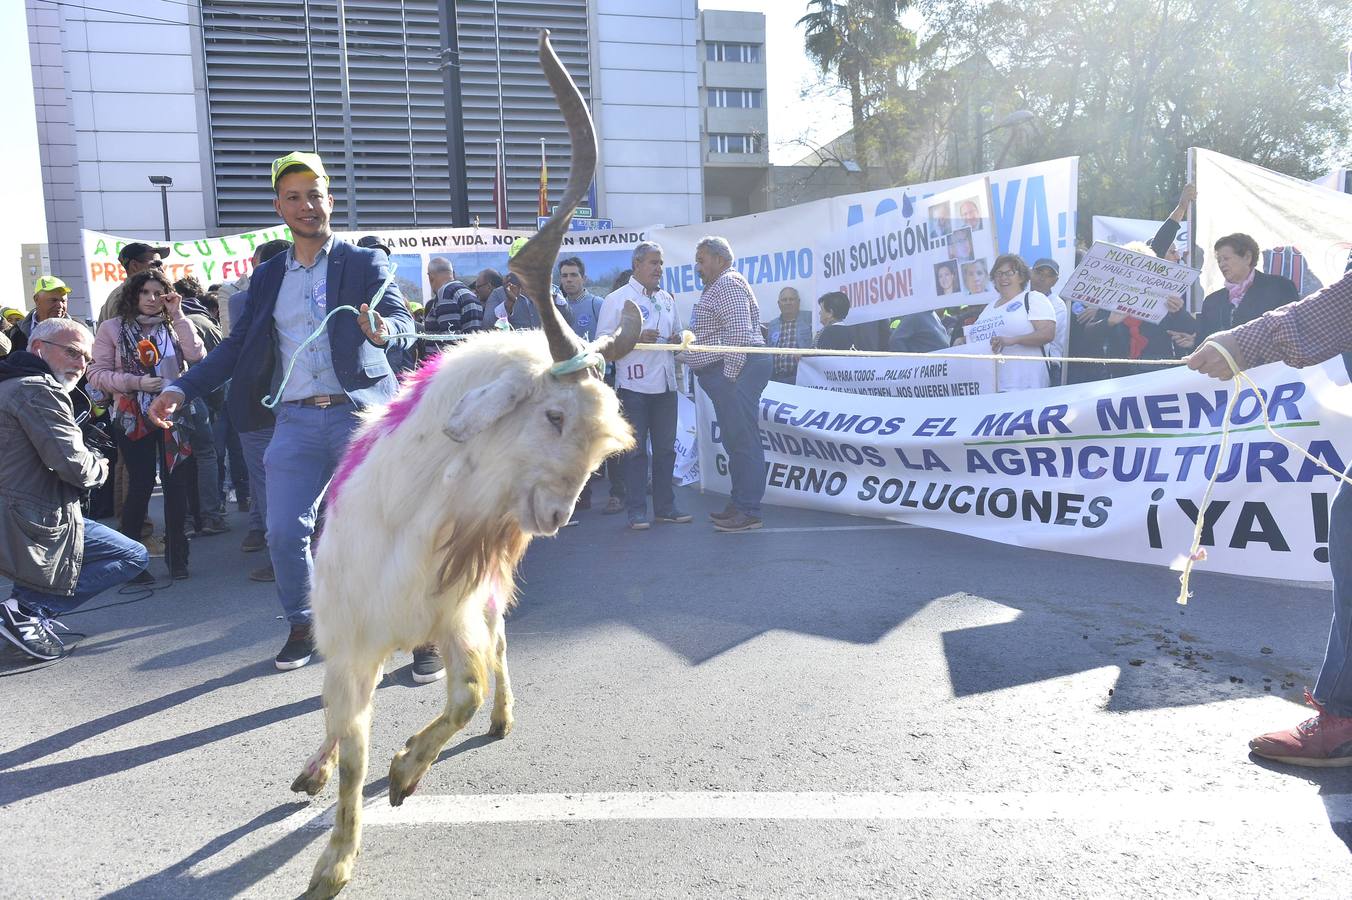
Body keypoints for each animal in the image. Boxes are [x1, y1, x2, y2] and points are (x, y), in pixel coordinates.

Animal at [290, 31, 638, 891]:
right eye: (553, 414)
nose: (558, 517)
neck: (411, 526)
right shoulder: (350, 642)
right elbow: (351, 746)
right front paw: (334, 861)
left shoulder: (454, 616)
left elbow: (465, 695)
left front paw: (408, 773)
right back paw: (313, 768)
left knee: (496, 660)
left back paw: (505, 717)